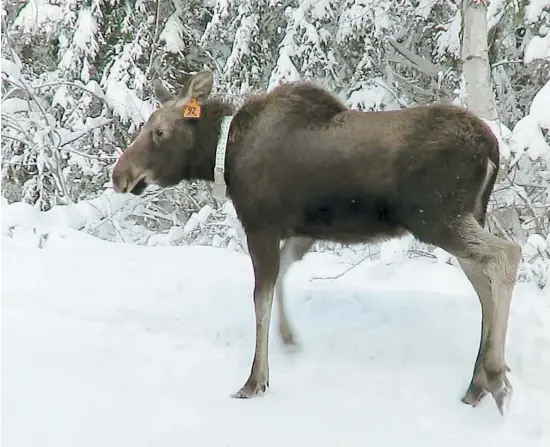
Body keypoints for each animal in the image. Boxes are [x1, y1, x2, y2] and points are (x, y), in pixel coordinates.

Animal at [111, 70, 520, 416]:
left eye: (158, 131)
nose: (119, 175)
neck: (224, 156)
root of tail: (492, 149)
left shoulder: (260, 225)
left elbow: (260, 297)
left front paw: (254, 380)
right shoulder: (301, 230)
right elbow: (281, 277)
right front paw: (289, 338)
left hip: (436, 218)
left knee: (507, 254)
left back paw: (496, 377)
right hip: (465, 216)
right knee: (484, 287)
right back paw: (477, 385)